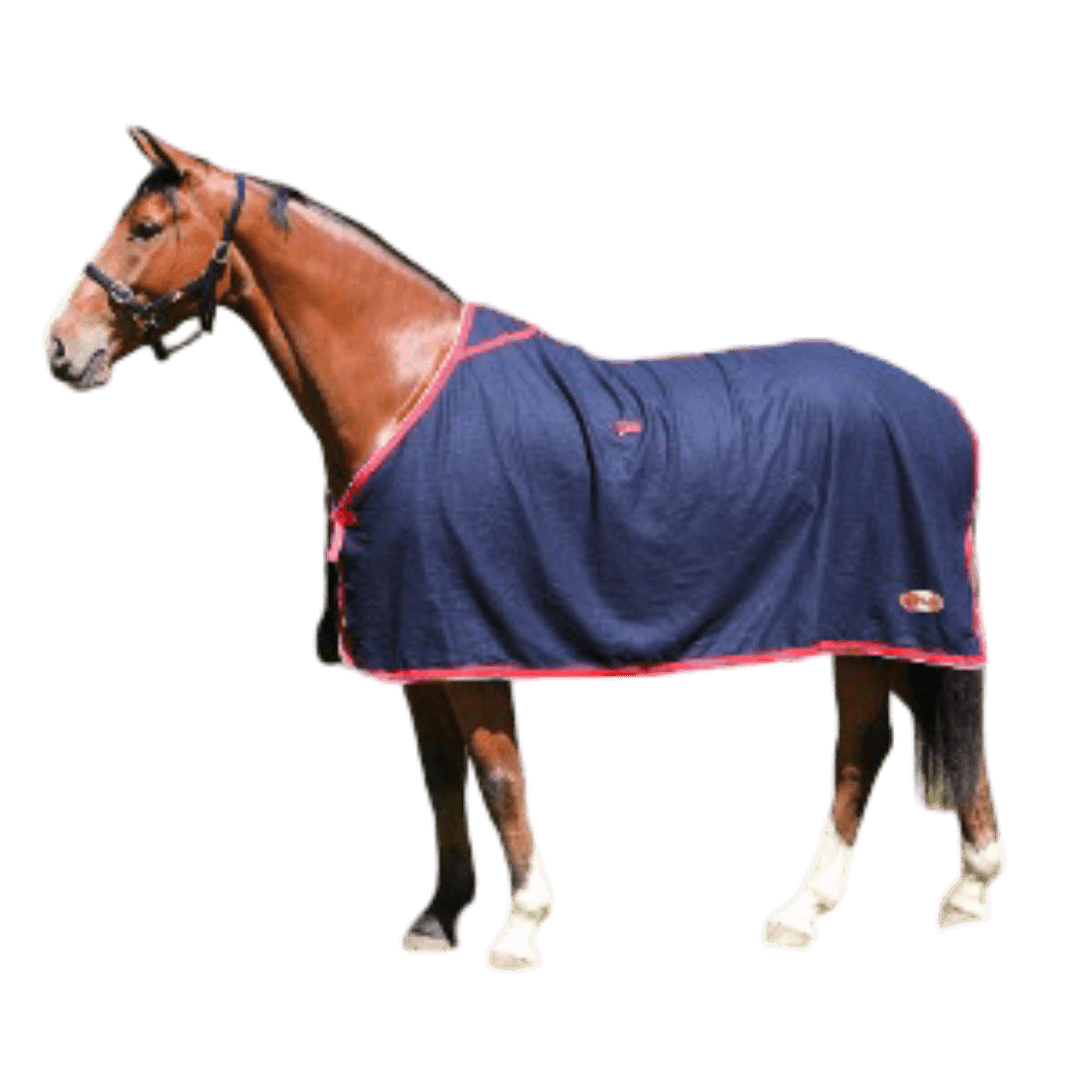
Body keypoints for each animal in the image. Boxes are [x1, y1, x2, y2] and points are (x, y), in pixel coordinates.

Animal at [42, 124, 1005, 972]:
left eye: (146, 228)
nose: (58, 347)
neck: (405, 386)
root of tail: (942, 408)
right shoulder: (418, 644)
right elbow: (440, 778)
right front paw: (438, 918)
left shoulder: (474, 635)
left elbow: (498, 775)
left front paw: (519, 930)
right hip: (869, 626)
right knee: (872, 742)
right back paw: (868, 903)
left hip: (891, 615)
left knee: (876, 742)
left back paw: (918, 894)